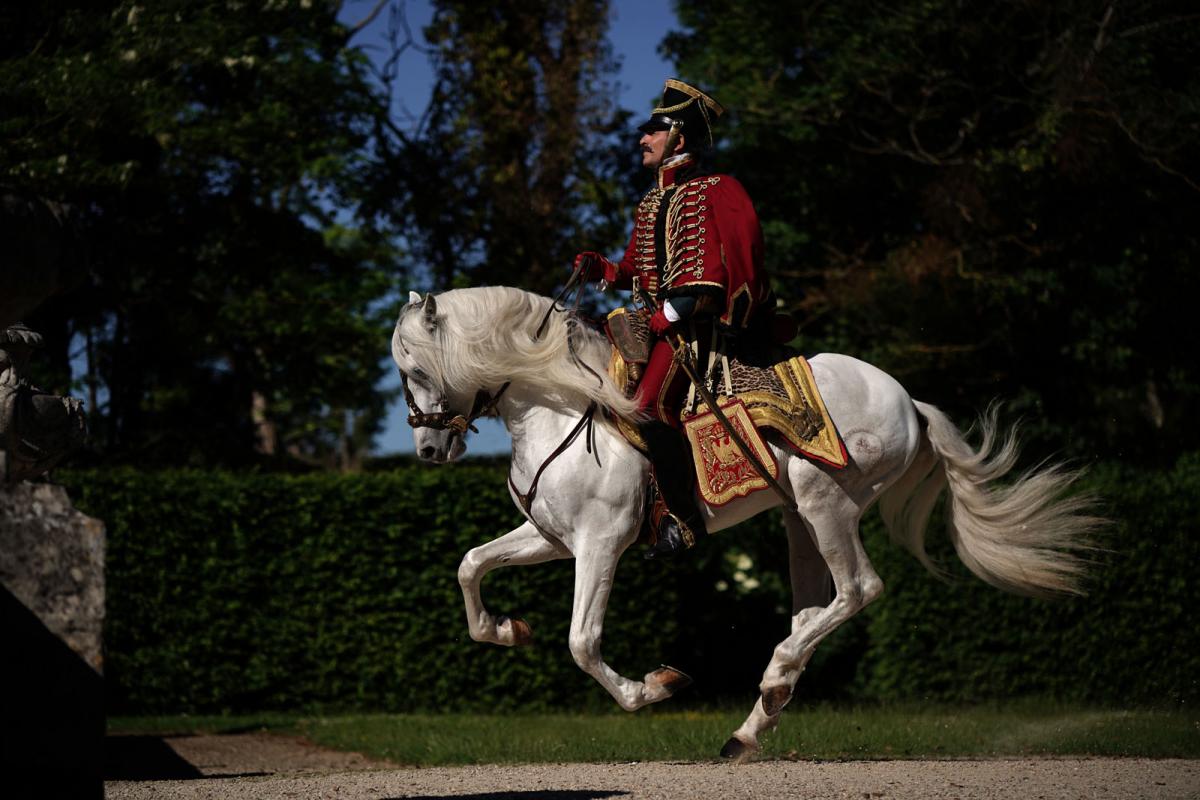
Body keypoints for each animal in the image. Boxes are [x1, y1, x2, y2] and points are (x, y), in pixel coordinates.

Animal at [391, 284, 1099, 762]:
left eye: (416, 368)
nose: (427, 449)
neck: (561, 402)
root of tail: (910, 402)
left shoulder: (600, 542)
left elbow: (582, 642)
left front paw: (653, 689)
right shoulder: (551, 538)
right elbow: (471, 565)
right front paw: (506, 630)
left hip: (824, 499)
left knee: (859, 590)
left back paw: (774, 679)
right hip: (798, 520)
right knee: (814, 609)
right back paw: (756, 720)